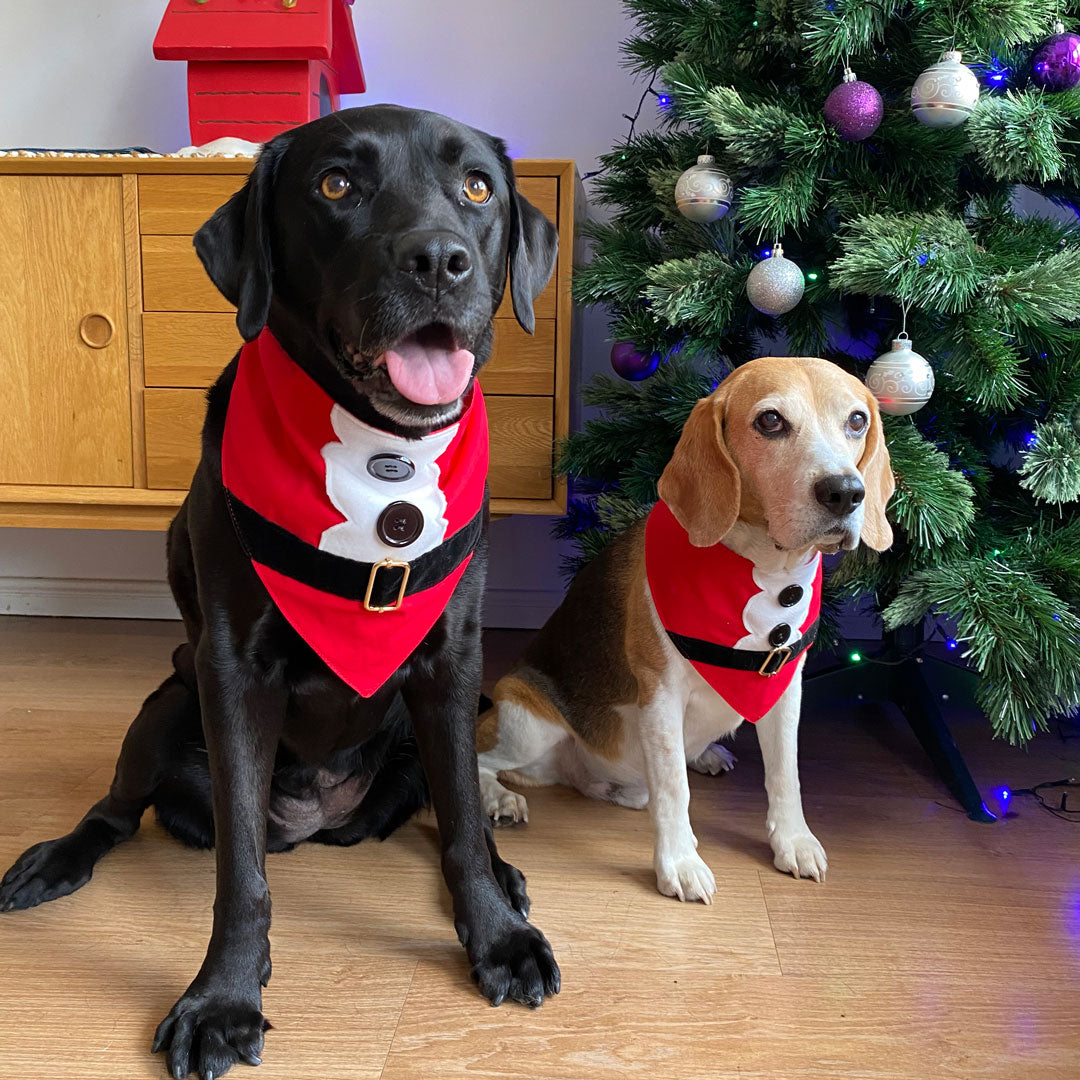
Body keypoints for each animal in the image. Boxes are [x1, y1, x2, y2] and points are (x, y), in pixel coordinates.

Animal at [2, 107, 565, 1080]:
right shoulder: (233, 670)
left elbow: (459, 817)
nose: (440, 259)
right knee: (118, 811)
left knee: (443, 800)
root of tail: (315, 822)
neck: (378, 460)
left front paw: (496, 935)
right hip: (167, 698)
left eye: (477, 188)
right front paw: (225, 998)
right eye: (336, 184)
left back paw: (502, 869)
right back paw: (56, 859)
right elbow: (240, 872)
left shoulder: (451, 662)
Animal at [477, 356, 889, 902]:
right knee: (478, 757)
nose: (845, 492)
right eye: (770, 421)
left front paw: (794, 841)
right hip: (527, 721)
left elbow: (786, 773)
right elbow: (674, 786)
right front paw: (679, 862)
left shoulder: (784, 689)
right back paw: (499, 798)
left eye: (857, 420)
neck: (765, 573)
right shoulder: (660, 693)